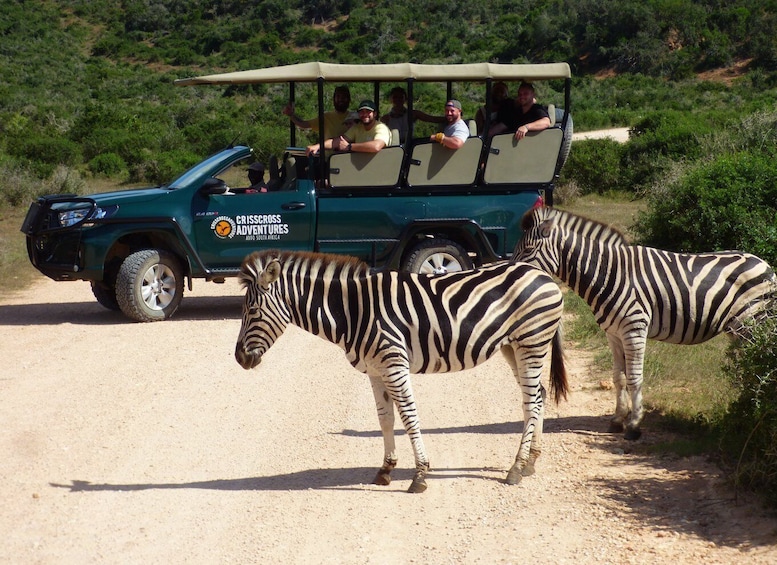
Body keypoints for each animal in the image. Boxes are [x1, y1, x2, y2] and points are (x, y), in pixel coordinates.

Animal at [233, 249, 568, 492]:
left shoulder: (394, 364)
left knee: (530, 401)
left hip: (531, 342)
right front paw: (385, 469)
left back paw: (515, 469)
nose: (238, 358)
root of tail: (542, 274)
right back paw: (530, 461)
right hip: (513, 347)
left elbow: (408, 417)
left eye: (252, 311)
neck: (354, 312)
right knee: (538, 396)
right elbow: (385, 419)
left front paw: (420, 475)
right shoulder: (374, 370)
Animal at [512, 207, 772, 440]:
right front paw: (618, 419)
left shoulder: (634, 329)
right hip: (738, 329)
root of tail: (764, 263)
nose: (514, 272)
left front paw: (634, 425)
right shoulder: (613, 334)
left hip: (753, 322)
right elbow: (619, 377)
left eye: (528, 249)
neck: (609, 274)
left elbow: (635, 378)